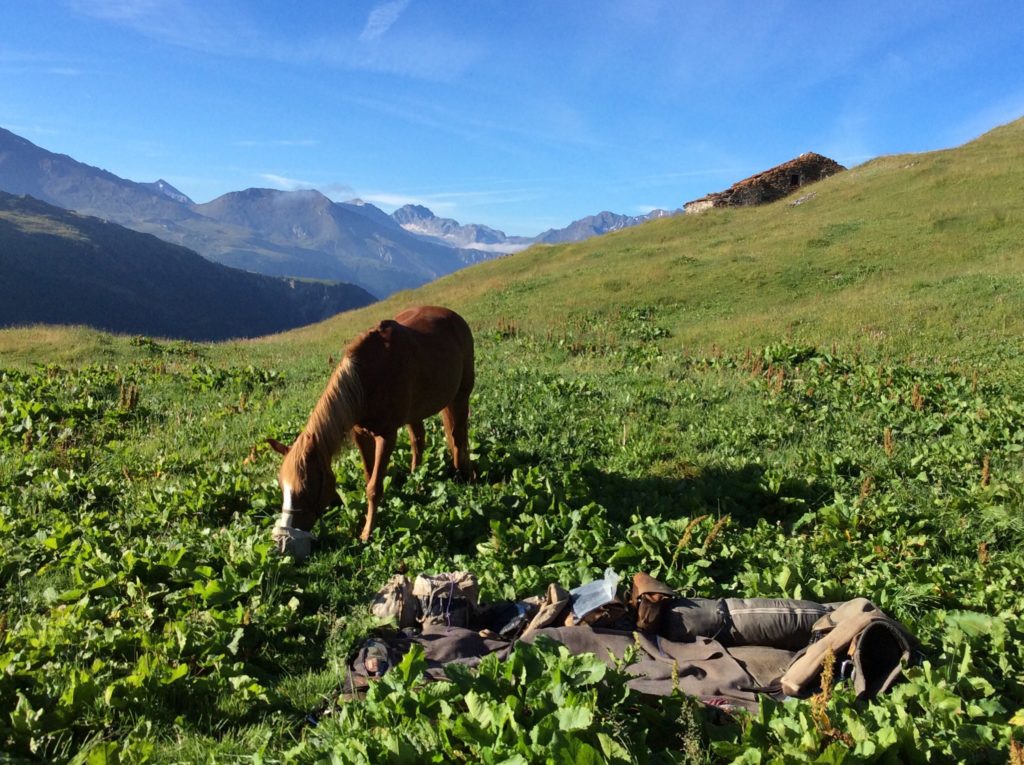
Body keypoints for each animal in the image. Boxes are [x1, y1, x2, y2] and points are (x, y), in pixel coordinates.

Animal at [264, 303, 471, 548]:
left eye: (306, 488)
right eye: (281, 486)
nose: (283, 537)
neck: (365, 380)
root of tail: (452, 315)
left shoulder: (387, 436)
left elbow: (373, 488)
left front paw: (366, 534)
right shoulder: (361, 435)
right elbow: (368, 476)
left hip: (461, 395)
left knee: (458, 436)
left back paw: (463, 474)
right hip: (416, 412)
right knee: (418, 440)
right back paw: (416, 478)